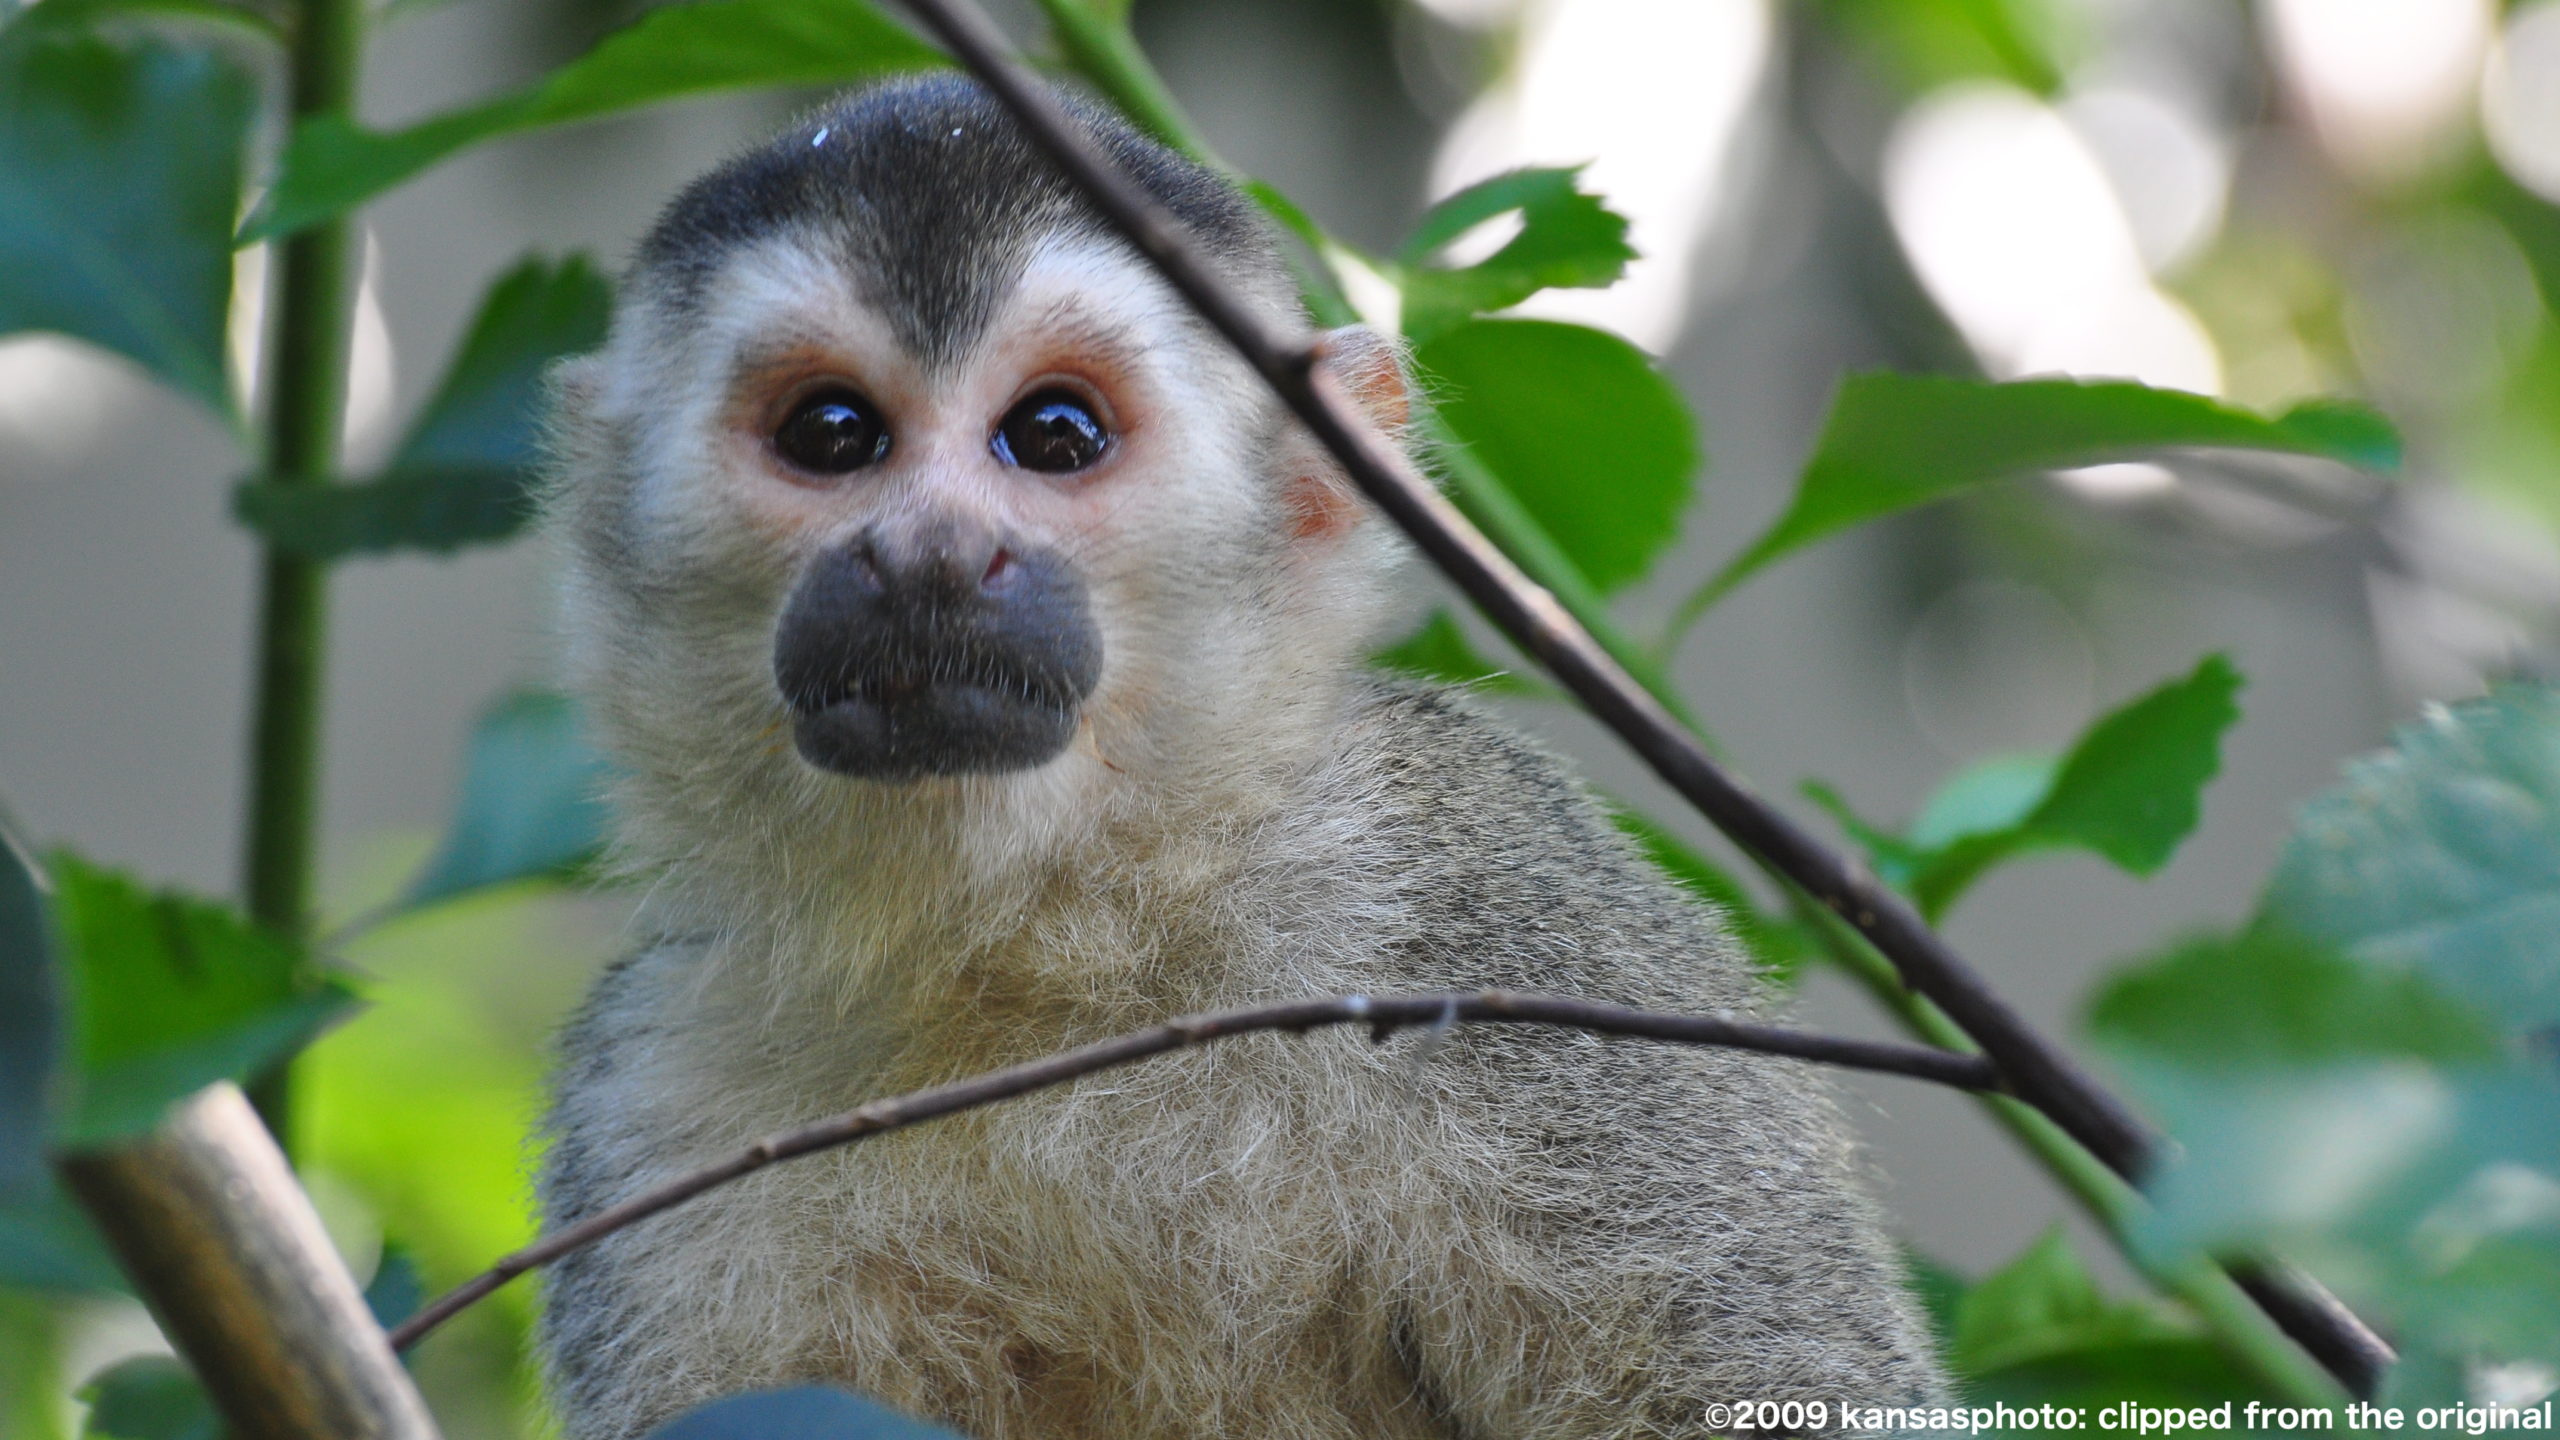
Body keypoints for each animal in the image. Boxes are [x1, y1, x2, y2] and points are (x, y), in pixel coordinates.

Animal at [540, 75, 1935, 1434]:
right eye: (832, 433)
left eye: (1054, 434)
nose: (930, 554)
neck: (1053, 938)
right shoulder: (651, 1096)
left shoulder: (1497, 916)